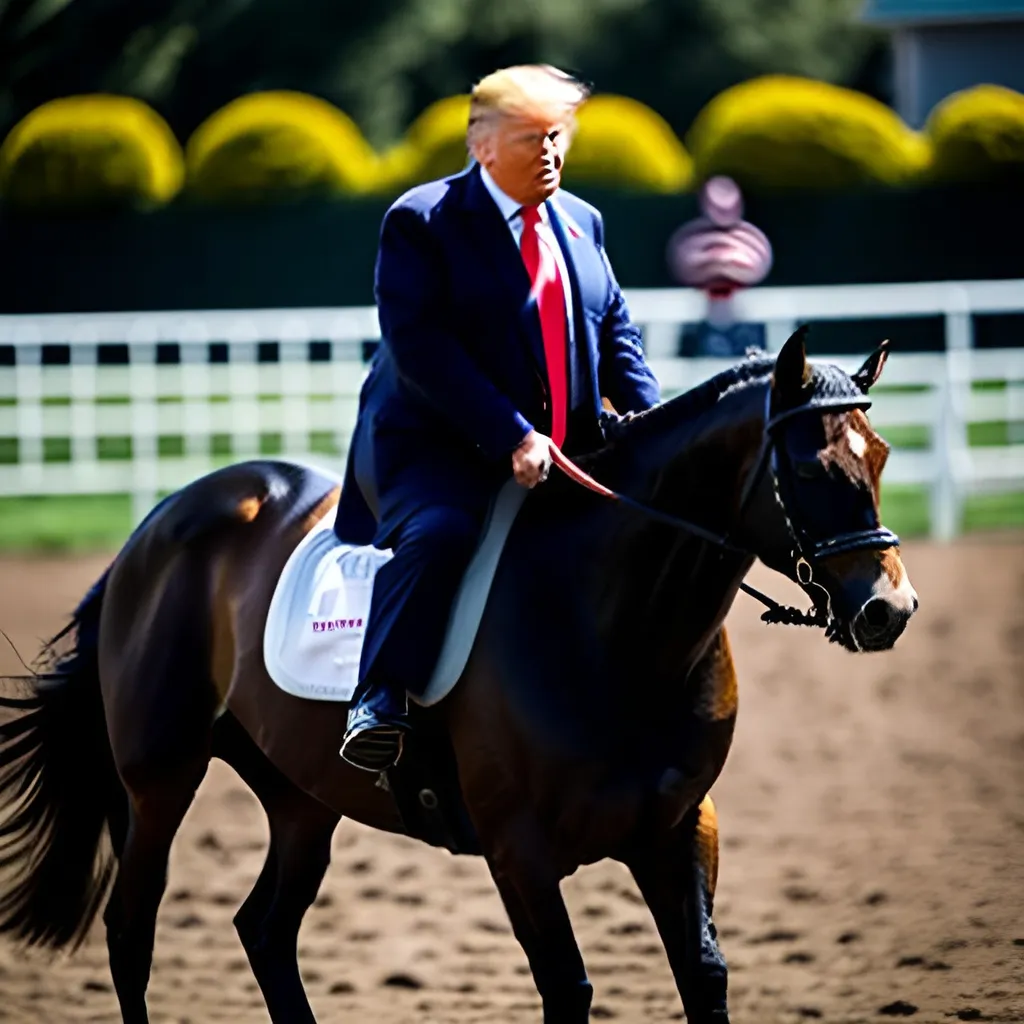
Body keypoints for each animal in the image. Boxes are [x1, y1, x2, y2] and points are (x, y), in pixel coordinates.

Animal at [0, 329, 917, 1024]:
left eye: (879, 456)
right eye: (810, 469)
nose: (889, 608)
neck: (612, 623)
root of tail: (154, 527)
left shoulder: (681, 826)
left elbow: (704, 974)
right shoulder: (520, 853)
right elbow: (567, 990)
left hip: (302, 797)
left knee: (264, 928)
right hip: (161, 779)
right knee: (131, 931)